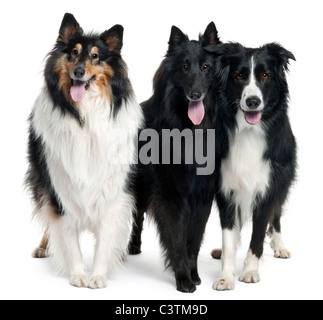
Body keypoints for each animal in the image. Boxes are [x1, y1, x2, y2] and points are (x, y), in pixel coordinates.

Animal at [128, 22, 221, 292]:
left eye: (206, 67)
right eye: (184, 67)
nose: (196, 95)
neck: (190, 131)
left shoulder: (202, 199)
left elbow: (194, 242)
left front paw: (194, 274)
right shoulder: (171, 197)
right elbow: (178, 240)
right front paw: (183, 279)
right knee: (136, 215)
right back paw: (133, 246)